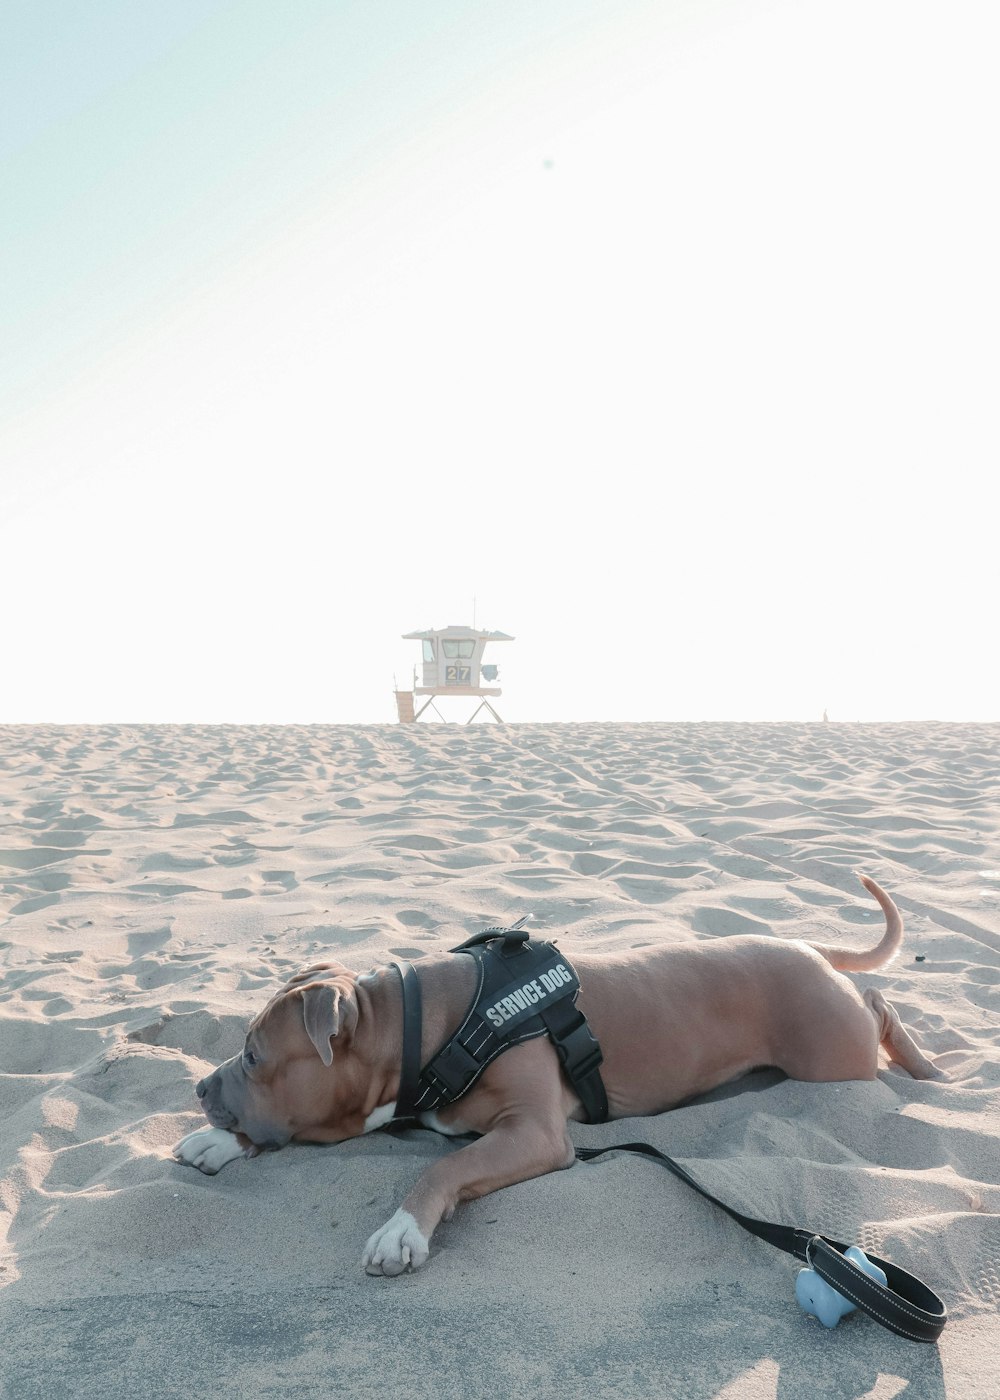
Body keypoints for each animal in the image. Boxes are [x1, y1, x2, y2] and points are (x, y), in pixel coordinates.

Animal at [173, 873, 941, 1282]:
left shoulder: (534, 1131)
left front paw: (401, 1230)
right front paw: (219, 1142)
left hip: (830, 1051)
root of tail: (806, 943)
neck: (418, 1025)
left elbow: (441, 1167)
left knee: (877, 1005)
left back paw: (927, 1066)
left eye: (253, 1057)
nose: (201, 1089)